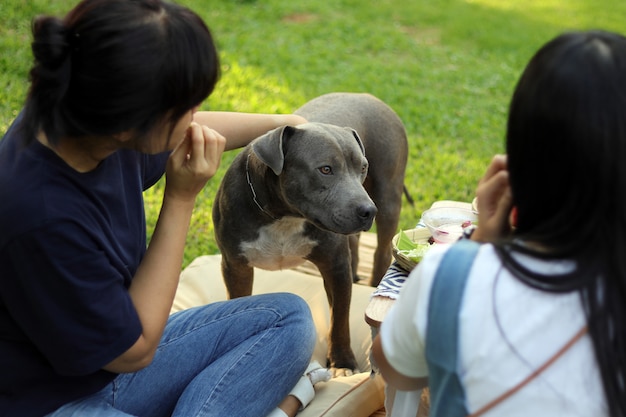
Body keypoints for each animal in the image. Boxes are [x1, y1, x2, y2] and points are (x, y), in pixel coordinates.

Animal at [212, 92, 408, 374]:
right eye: (325, 169)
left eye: (362, 167)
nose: (368, 210)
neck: (284, 217)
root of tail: (368, 96)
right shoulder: (235, 266)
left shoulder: (335, 268)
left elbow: (340, 318)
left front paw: (343, 361)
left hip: (388, 197)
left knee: (381, 250)